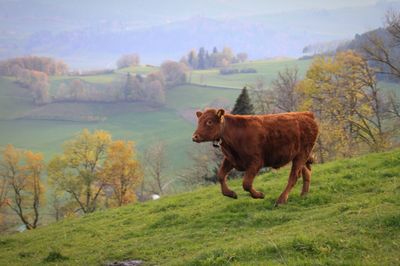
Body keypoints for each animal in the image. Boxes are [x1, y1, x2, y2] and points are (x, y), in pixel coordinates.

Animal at [192, 109, 320, 205]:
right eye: (199, 121)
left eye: (209, 122)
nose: (194, 137)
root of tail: (306, 114)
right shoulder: (230, 160)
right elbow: (220, 176)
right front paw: (231, 194)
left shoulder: (255, 162)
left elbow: (246, 183)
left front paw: (259, 195)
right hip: (301, 155)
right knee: (306, 172)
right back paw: (303, 195)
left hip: (301, 154)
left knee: (294, 176)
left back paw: (281, 200)